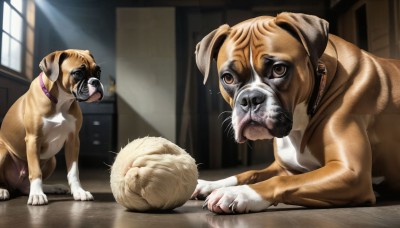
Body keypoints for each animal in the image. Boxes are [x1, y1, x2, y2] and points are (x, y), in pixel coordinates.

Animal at [0, 49, 104, 205]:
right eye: (78, 73)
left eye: (98, 72)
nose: (96, 82)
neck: (61, 101)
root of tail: (15, 185)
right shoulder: (33, 139)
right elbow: (35, 171)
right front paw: (37, 195)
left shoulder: (73, 141)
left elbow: (73, 171)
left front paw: (78, 191)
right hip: (3, 152)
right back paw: (2, 190)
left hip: (52, 160)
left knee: (26, 187)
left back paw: (53, 187)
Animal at [191, 12, 400, 214]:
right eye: (228, 78)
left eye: (279, 69)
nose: (250, 99)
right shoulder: (284, 167)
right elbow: (250, 173)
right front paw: (211, 184)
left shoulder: (351, 172)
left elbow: (280, 181)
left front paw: (237, 194)